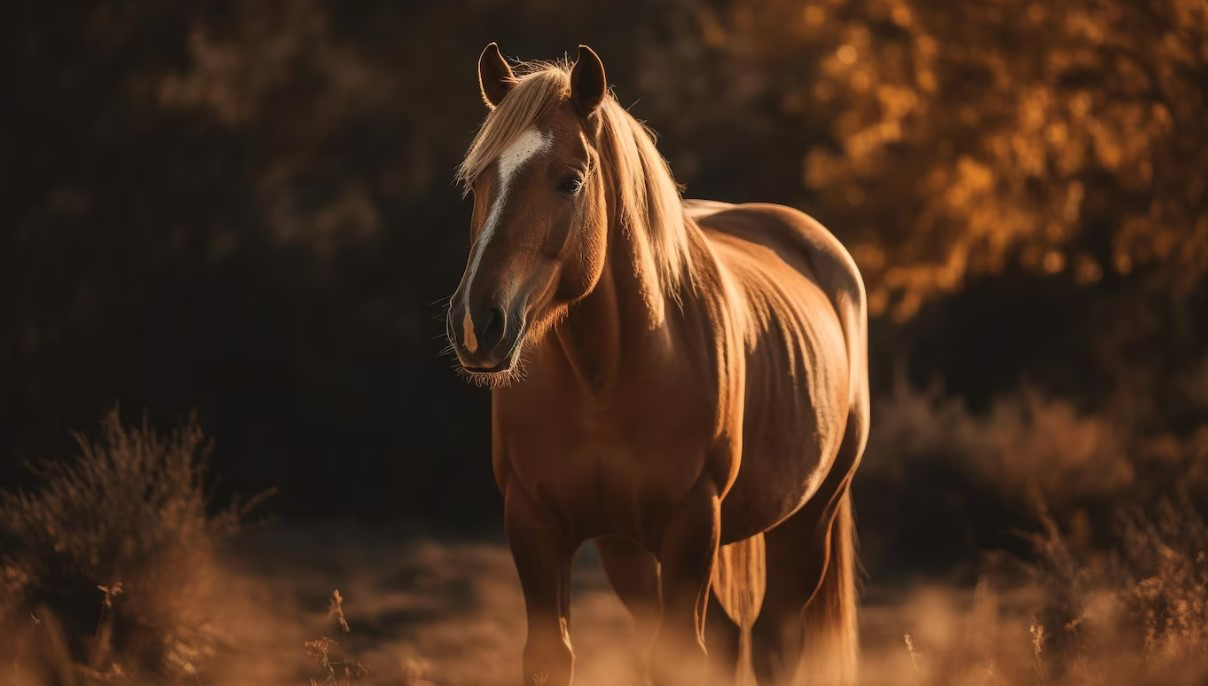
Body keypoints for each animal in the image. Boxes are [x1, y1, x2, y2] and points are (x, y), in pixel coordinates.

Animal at [444, 44, 869, 686]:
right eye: (479, 182)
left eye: (570, 180)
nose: (477, 324)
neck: (604, 379)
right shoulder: (534, 522)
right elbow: (552, 655)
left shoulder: (692, 522)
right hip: (630, 552)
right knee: (726, 635)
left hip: (807, 522)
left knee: (771, 641)